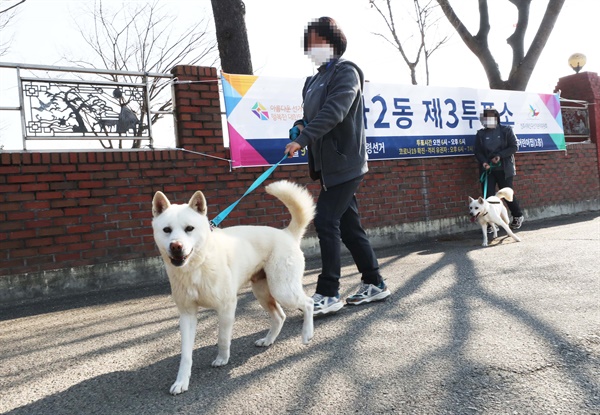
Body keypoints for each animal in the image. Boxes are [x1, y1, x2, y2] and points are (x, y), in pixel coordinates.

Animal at [152, 180, 316, 394]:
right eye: (166, 230)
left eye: (189, 228)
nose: (176, 246)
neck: (197, 266)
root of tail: (286, 233)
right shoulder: (187, 314)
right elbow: (186, 355)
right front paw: (181, 382)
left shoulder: (227, 306)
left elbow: (222, 337)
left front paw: (222, 359)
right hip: (263, 292)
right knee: (280, 316)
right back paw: (268, 340)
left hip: (283, 290)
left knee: (308, 303)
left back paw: (307, 334)